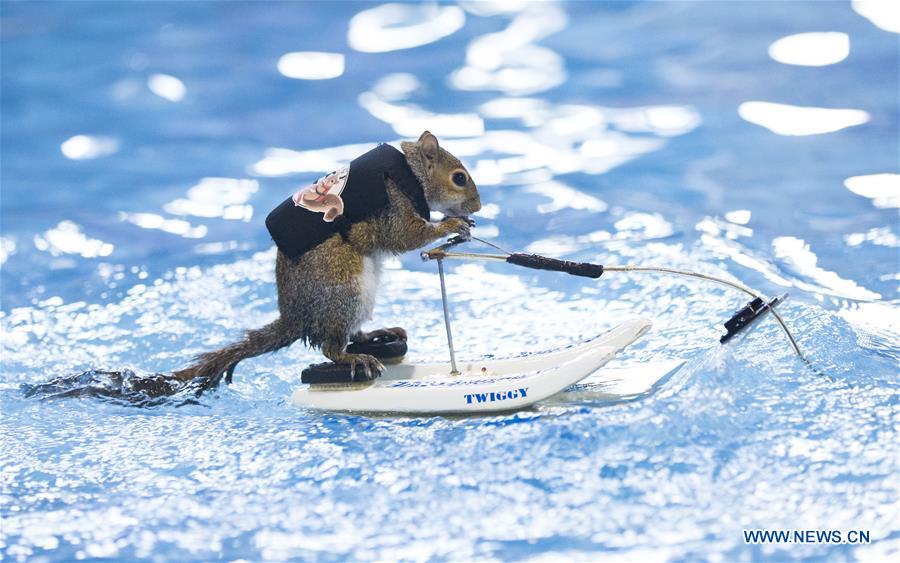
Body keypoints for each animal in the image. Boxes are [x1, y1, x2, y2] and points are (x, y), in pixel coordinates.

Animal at [169, 132, 478, 390]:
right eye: (459, 178)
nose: (478, 206)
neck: (409, 172)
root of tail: (296, 318)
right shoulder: (393, 205)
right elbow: (405, 236)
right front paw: (450, 224)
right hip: (344, 286)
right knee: (331, 347)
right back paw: (356, 358)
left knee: (353, 335)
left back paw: (376, 334)